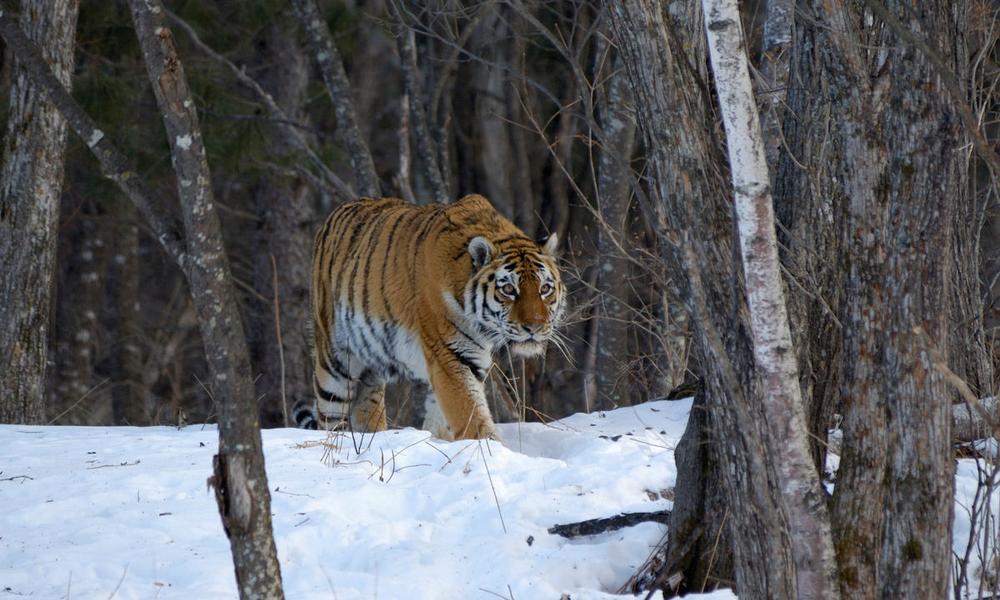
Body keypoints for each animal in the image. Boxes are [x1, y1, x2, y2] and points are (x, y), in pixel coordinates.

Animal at [292, 193, 568, 440]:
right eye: (509, 289)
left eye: (545, 289)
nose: (534, 327)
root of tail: (335, 213)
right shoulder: (449, 354)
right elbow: (471, 415)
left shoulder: (469, 361)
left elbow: (444, 419)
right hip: (334, 364)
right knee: (329, 419)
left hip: (370, 367)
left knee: (365, 410)